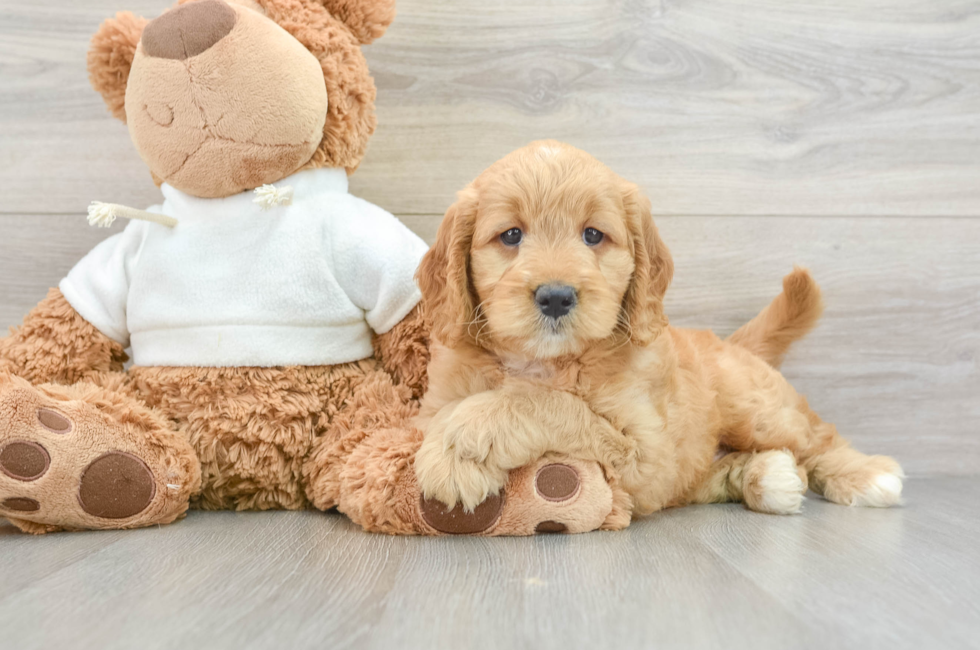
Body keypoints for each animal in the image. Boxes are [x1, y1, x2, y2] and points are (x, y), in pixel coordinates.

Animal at [412, 139, 904, 520]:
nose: (555, 296)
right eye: (511, 235)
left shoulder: (647, 455)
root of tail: (729, 343)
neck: (545, 361)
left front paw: (461, 444)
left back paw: (865, 475)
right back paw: (769, 478)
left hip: (756, 408)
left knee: (817, 436)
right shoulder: (433, 404)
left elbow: (547, 404)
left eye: (593, 235)